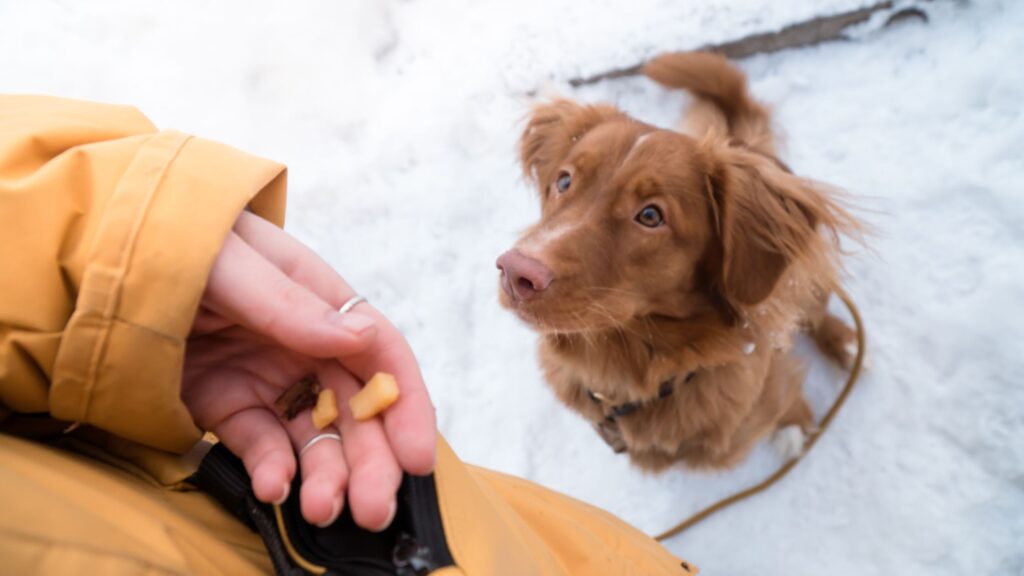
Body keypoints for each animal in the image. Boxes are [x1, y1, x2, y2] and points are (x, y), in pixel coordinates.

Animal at [499, 51, 860, 469]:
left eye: (650, 215)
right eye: (564, 181)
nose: (515, 271)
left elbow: (782, 397)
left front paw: (794, 423)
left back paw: (846, 344)